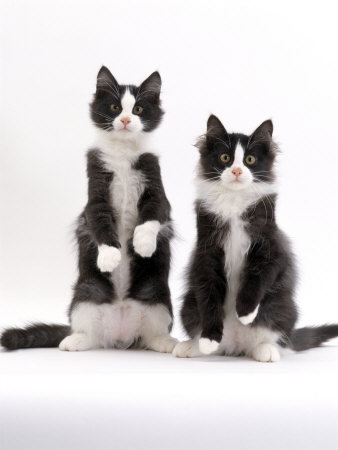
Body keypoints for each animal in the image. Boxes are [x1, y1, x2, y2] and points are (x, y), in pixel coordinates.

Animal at [1, 65, 177, 354]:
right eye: (115, 107)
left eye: (138, 109)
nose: (125, 120)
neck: (123, 153)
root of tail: (121, 334)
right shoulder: (95, 193)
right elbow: (100, 222)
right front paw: (109, 256)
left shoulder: (157, 188)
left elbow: (152, 216)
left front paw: (143, 244)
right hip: (86, 292)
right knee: (89, 331)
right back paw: (72, 341)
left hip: (157, 295)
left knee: (151, 334)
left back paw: (166, 342)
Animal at [173, 115, 338, 362]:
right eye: (225, 158)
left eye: (250, 159)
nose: (237, 171)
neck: (234, 205)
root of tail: (235, 344)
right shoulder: (206, 252)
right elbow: (209, 296)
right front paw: (209, 338)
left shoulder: (270, 247)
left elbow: (256, 278)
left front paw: (245, 312)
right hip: (188, 306)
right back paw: (193, 347)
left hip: (282, 308)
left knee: (274, 339)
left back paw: (266, 350)